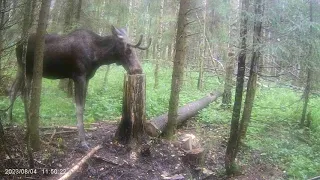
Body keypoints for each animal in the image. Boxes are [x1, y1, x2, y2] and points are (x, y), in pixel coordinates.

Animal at [8, 25, 151, 149]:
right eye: (127, 50)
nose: (138, 69)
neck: (98, 56)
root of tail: (17, 43)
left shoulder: (87, 78)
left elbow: (84, 105)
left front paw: (84, 136)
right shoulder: (79, 76)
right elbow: (79, 108)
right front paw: (82, 141)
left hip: (25, 70)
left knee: (17, 91)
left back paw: (14, 122)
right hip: (25, 68)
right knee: (20, 92)